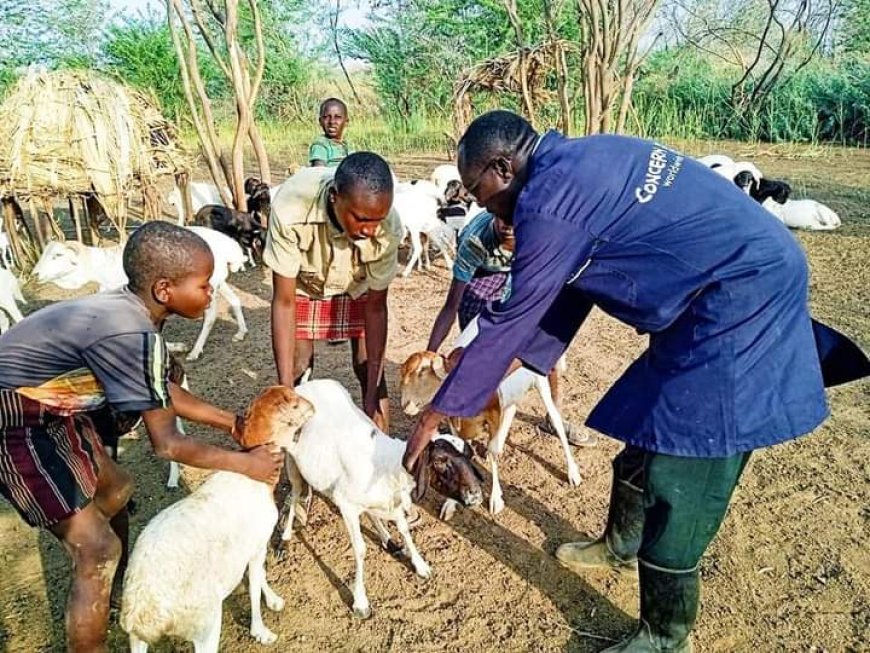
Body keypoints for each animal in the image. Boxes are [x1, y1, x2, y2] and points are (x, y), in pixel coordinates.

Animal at [29, 227, 249, 362]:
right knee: (235, 300)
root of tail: (230, 246)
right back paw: (240, 332)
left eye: (58, 255)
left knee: (210, 316)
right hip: (218, 282)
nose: (35, 274)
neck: (106, 268)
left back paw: (195, 351)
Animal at [121, 384, 316, 648]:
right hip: (206, 626)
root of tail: (144, 612)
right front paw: (261, 631)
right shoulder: (257, 545)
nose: (313, 406)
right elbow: (255, 583)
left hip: (137, 640)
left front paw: (274, 601)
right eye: (293, 402)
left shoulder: (251, 547)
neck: (254, 479)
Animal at [282, 376, 432, 616]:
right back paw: (286, 538)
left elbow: (404, 529)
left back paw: (388, 539)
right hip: (294, 464)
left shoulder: (391, 503)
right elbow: (360, 549)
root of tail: (305, 384)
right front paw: (361, 602)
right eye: (443, 462)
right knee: (296, 493)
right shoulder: (348, 506)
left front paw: (420, 565)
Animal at [400, 316, 584, 516]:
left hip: (541, 382)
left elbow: (494, 449)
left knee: (556, 420)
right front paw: (450, 503)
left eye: (422, 372)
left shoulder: (494, 414)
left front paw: (496, 498)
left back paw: (573, 472)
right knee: (511, 410)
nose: (404, 404)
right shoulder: (454, 422)